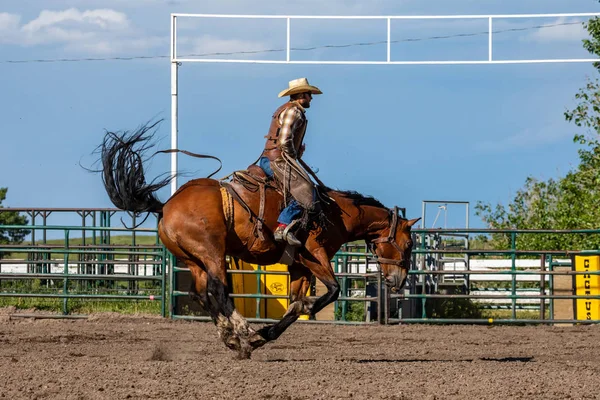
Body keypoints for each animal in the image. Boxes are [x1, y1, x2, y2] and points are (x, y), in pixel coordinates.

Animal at [97, 119, 418, 360]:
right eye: (408, 244)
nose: (398, 281)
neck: (335, 212)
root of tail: (166, 206)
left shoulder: (299, 265)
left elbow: (294, 305)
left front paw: (266, 335)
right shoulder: (314, 255)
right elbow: (332, 291)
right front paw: (267, 330)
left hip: (192, 258)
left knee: (201, 294)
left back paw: (232, 339)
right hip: (211, 252)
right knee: (218, 289)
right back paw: (243, 331)